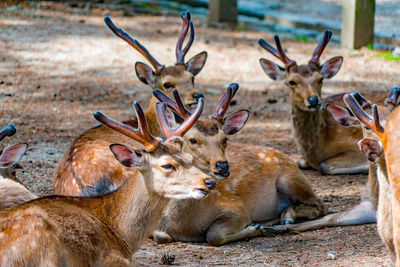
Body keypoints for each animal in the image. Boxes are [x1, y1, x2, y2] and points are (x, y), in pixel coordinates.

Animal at [150, 88, 328, 247]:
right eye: (193, 140)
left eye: (225, 139)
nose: (222, 166)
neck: (182, 225)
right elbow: (160, 235)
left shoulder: (236, 207)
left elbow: (213, 235)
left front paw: (255, 227)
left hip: (291, 180)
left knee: (320, 205)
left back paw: (285, 217)